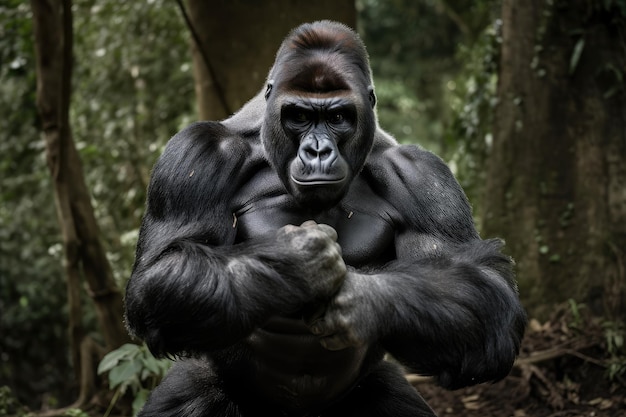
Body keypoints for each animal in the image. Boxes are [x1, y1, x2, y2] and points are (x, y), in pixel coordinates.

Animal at [124, 20, 524, 416]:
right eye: (300, 116)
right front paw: (296, 262)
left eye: (337, 117)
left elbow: (487, 288)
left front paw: (359, 300)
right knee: (193, 391)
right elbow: (161, 270)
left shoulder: (424, 176)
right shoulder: (197, 153)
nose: (318, 151)